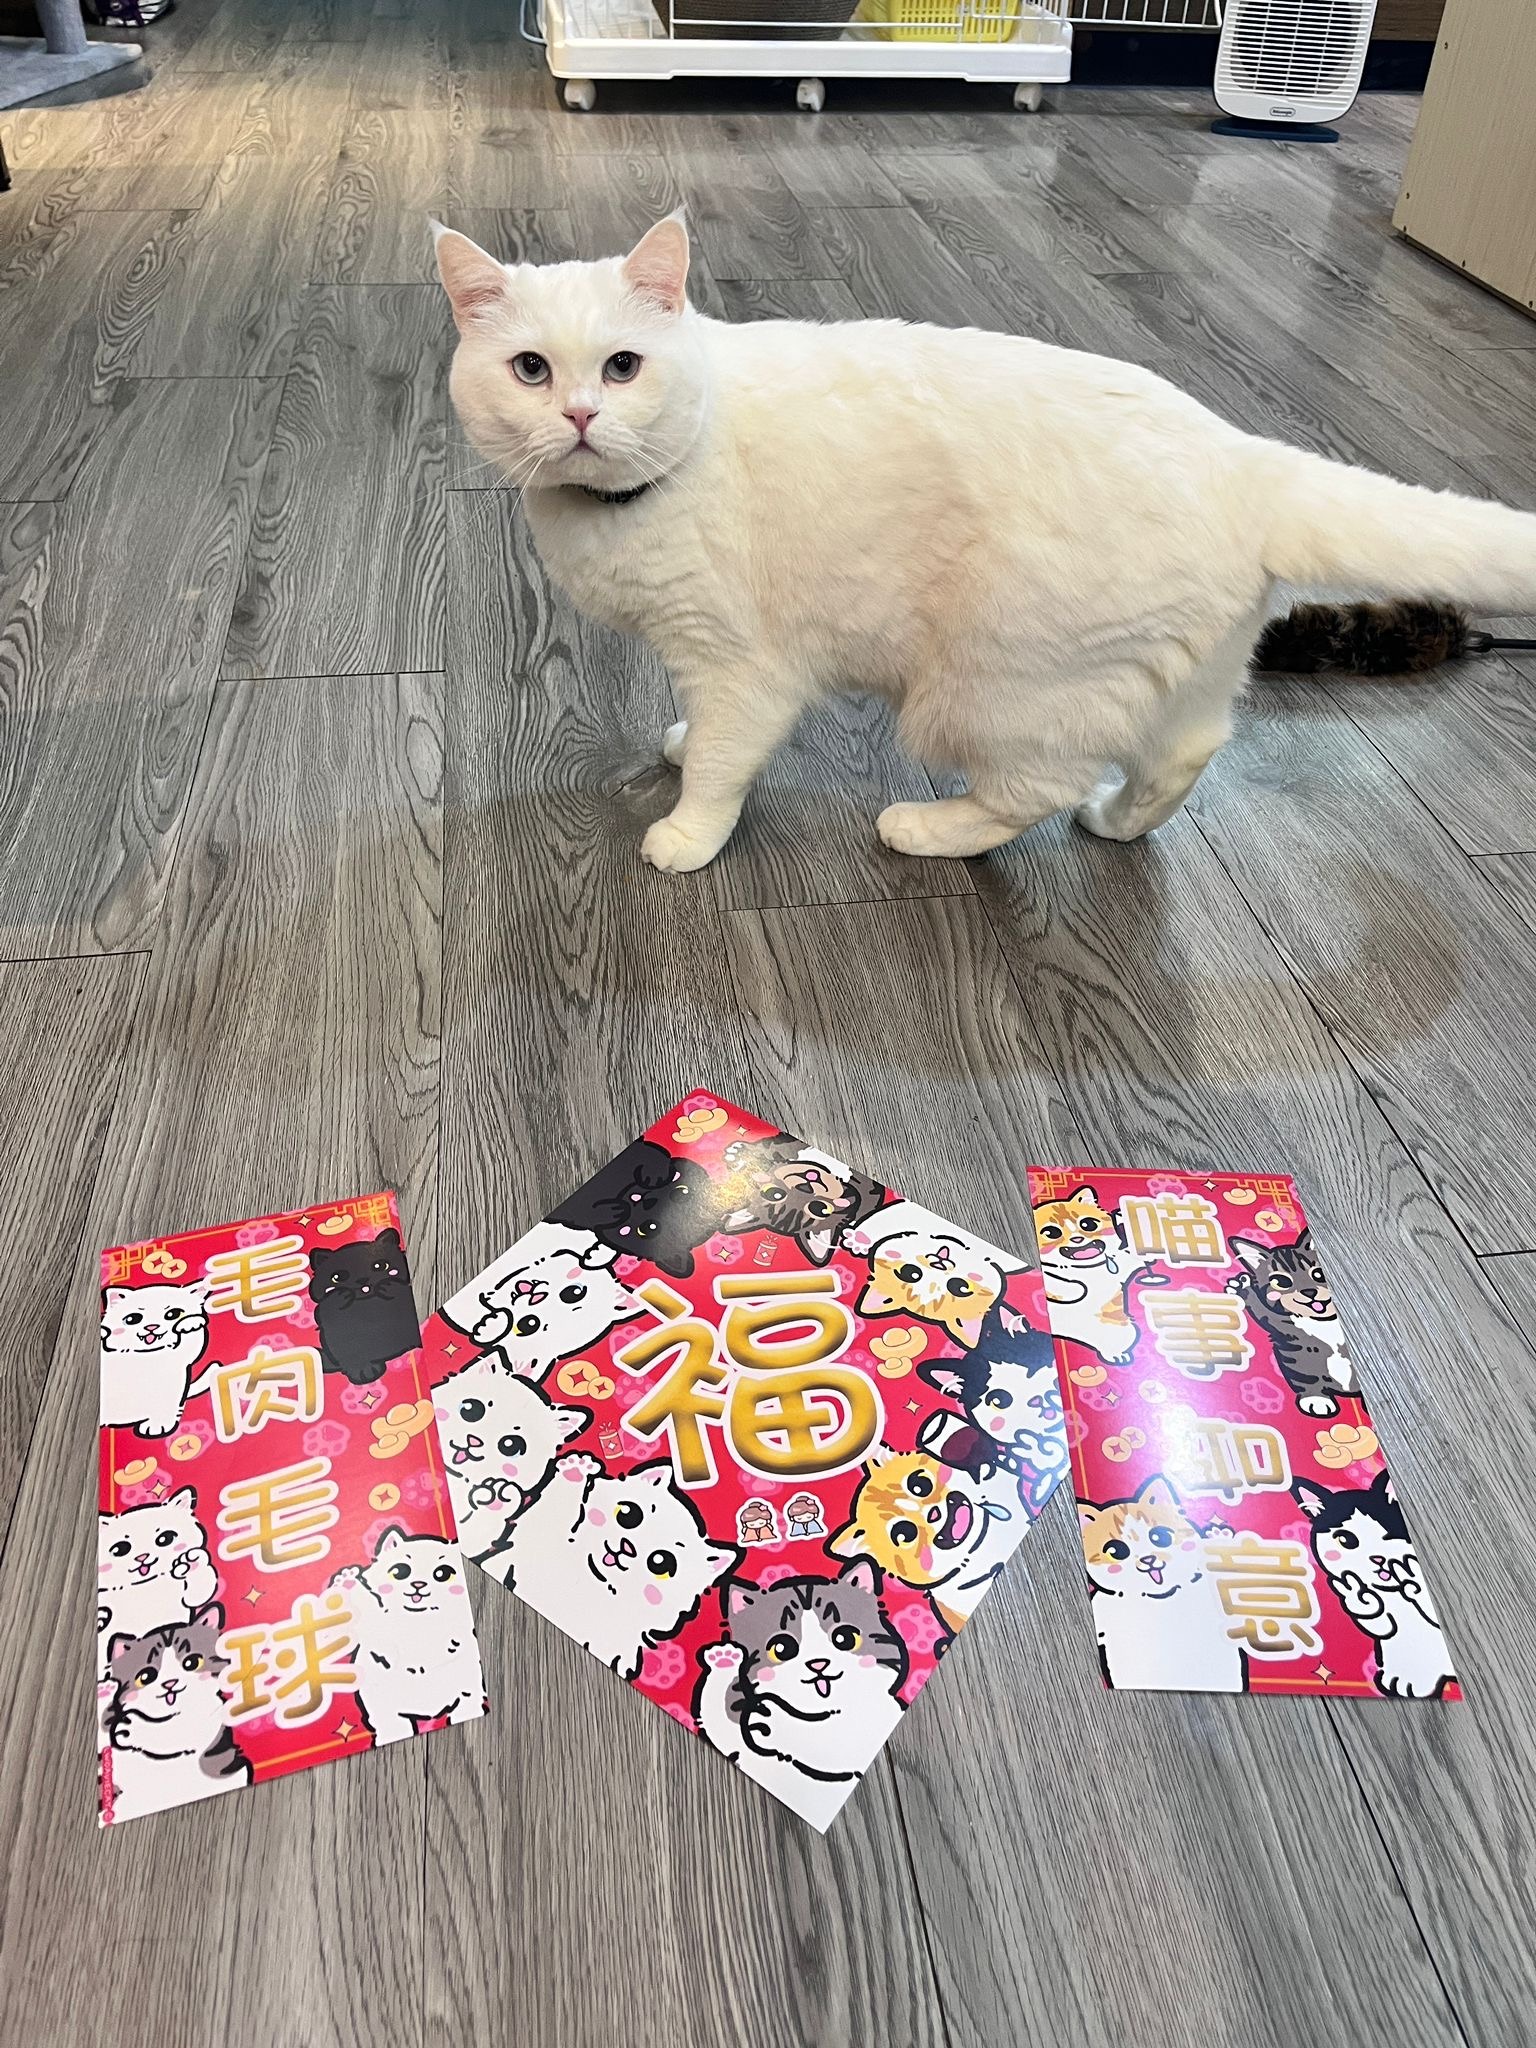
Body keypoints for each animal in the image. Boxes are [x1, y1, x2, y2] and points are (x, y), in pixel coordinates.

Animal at [98, 1490, 219, 1678]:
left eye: (165, 1538)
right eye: (120, 1549)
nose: (142, 1557)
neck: (148, 1586)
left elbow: (197, 1593)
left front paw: (191, 1563)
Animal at [100, 1278, 213, 1437]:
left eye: (174, 1314)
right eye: (132, 1319)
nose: (151, 1327)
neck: (148, 1353)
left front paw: (190, 1322)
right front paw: (104, 1332)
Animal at [334, 1528, 486, 1743]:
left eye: (443, 1574)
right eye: (399, 1571)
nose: (418, 1584)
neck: (417, 1620)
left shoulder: (469, 1690)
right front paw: (347, 1581)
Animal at [434, 212, 1536, 875]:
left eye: (623, 367)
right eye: (530, 370)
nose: (579, 415)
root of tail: (1245, 457)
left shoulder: (741, 665)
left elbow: (721, 762)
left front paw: (687, 833)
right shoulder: (694, 655)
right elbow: (696, 731)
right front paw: (676, 741)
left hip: (984, 693)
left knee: (1033, 789)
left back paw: (927, 828)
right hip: (1181, 675)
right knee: (1185, 752)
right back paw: (1117, 822)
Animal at [1031, 1185, 1161, 1366]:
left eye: (1088, 1224)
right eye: (1051, 1233)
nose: (1077, 1239)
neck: (1086, 1267)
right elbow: (1056, 1280)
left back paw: (1116, 1355)